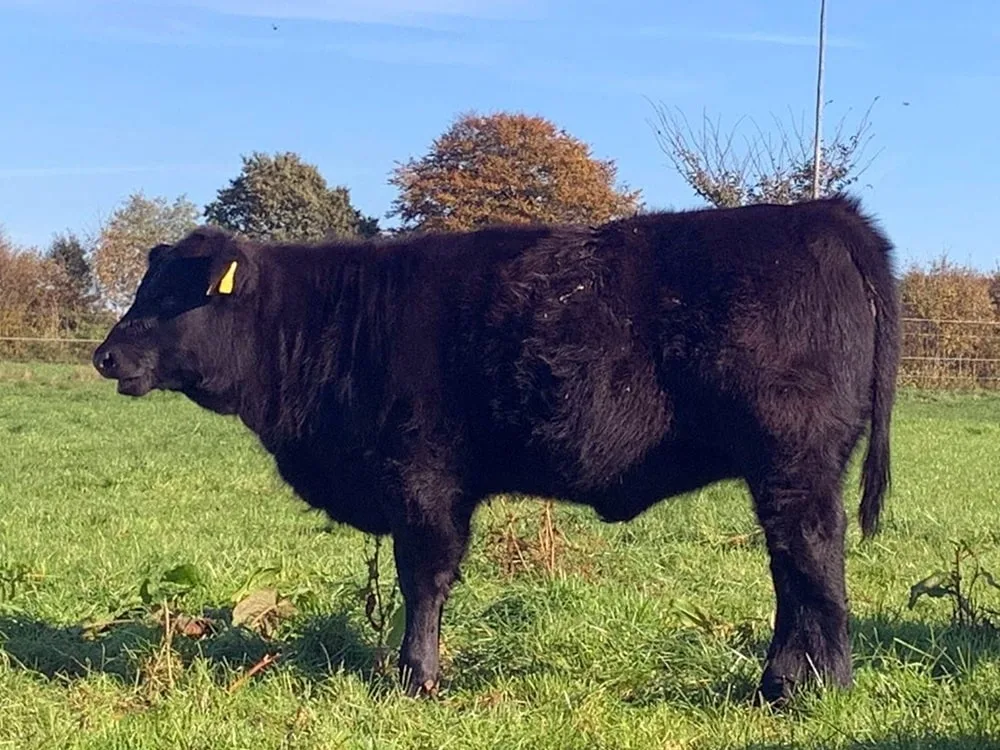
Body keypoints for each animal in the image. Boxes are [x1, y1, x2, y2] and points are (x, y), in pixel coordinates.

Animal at [94, 195, 904, 704]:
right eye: (144, 287)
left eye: (170, 296)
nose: (105, 355)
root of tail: (823, 214)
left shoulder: (422, 477)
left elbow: (424, 578)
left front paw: (416, 678)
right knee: (789, 572)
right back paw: (778, 685)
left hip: (794, 462)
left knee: (813, 559)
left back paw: (822, 688)